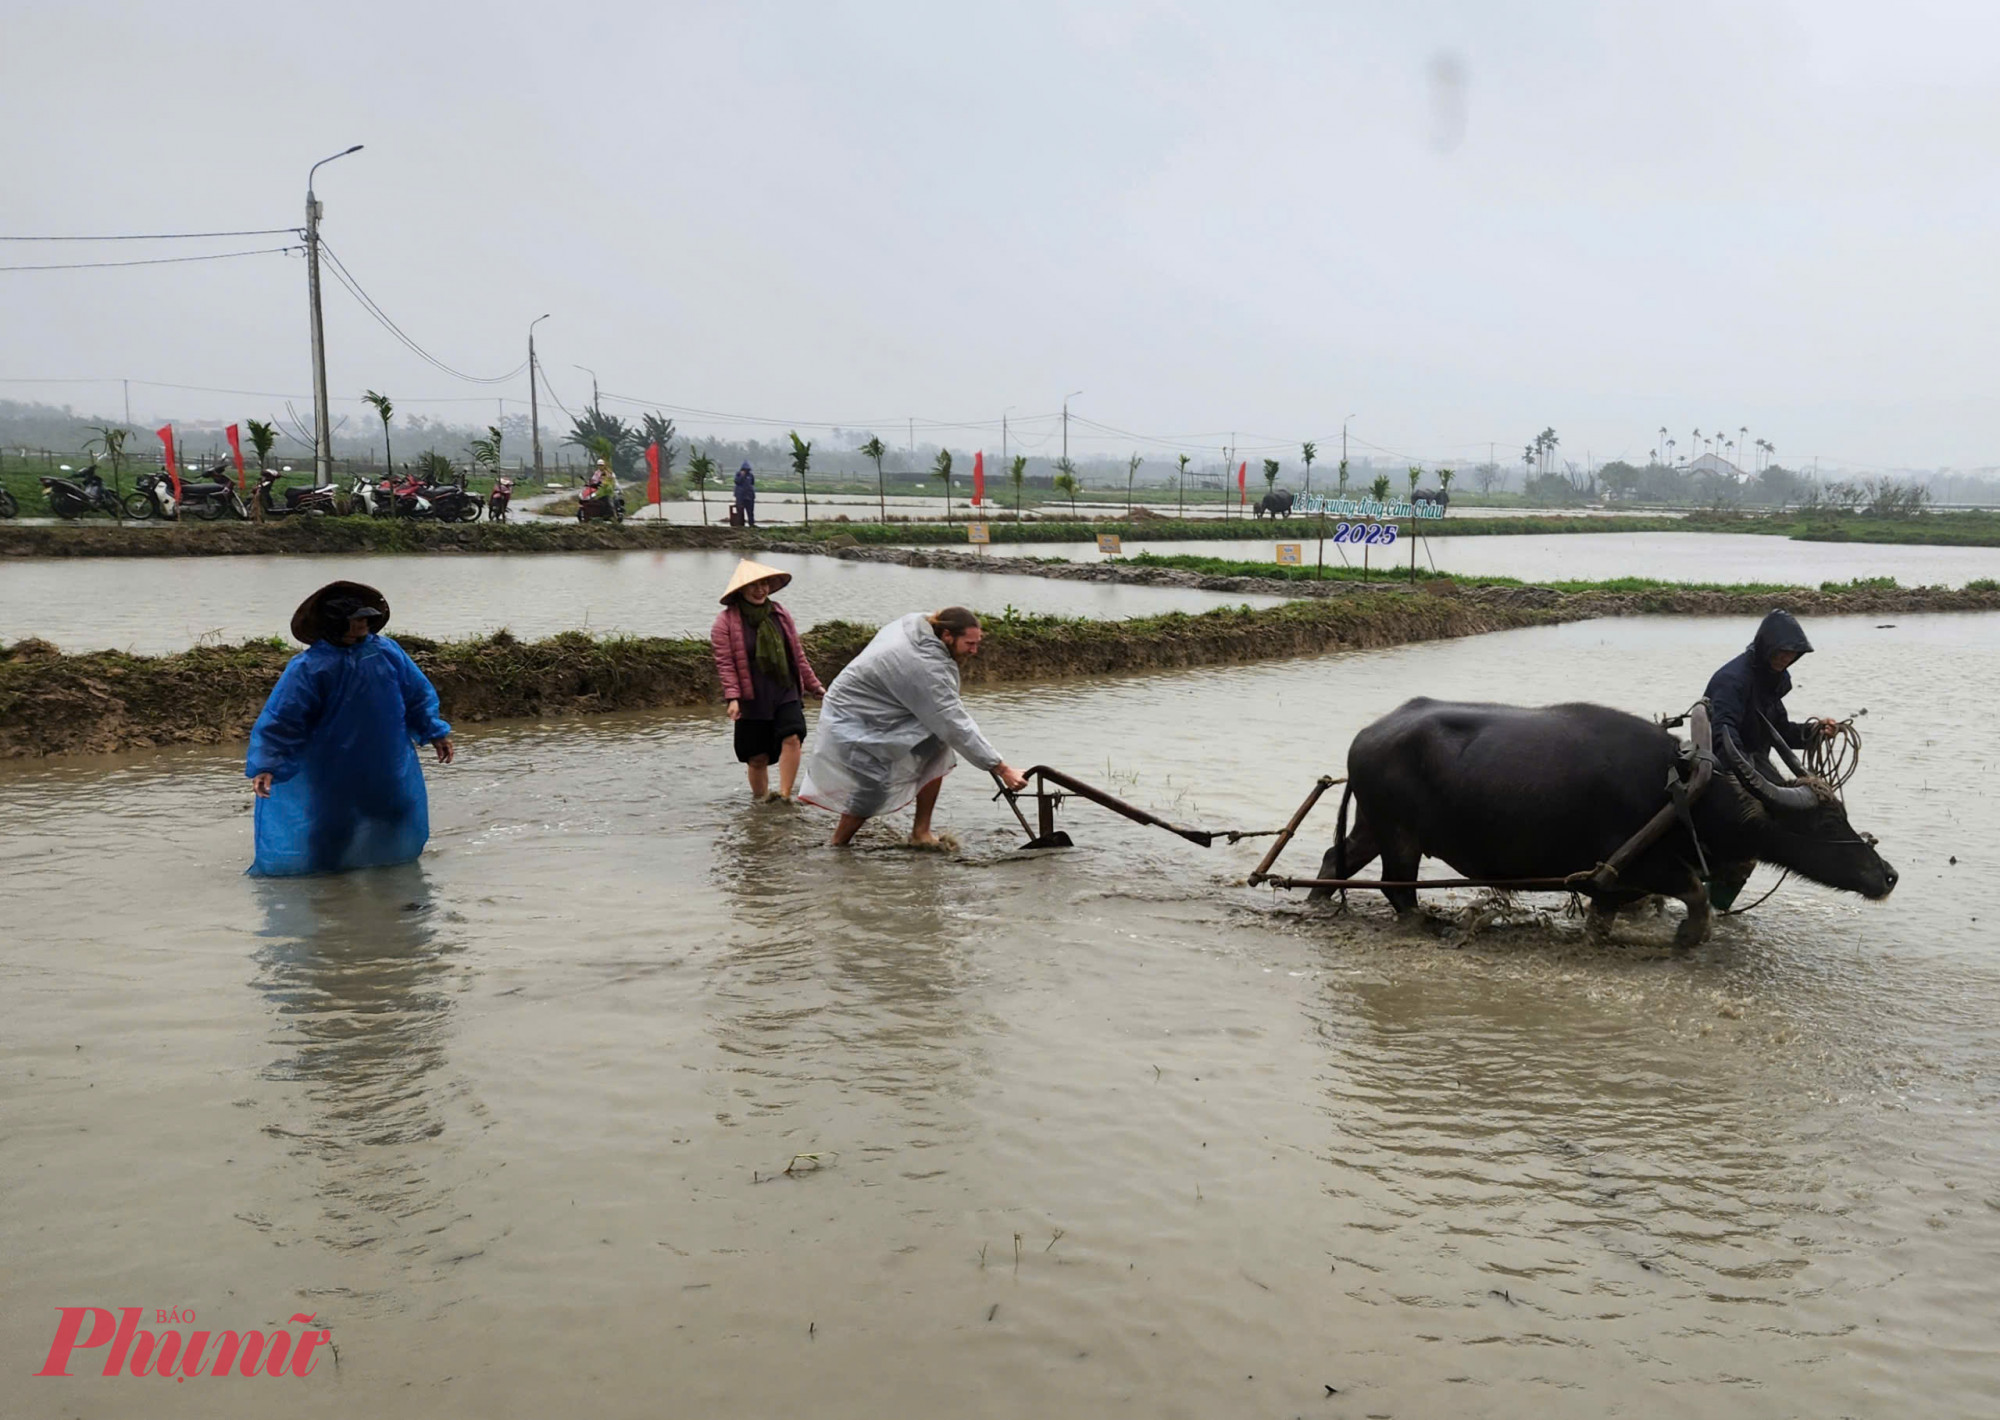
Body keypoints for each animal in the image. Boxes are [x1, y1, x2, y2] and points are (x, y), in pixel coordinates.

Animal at [1320, 700, 1896, 944]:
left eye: (1843, 814)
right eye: (1825, 824)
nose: (1887, 875)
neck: (1682, 791)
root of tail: (1365, 737)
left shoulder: (1611, 884)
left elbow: (1604, 918)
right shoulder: (1643, 867)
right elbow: (1696, 894)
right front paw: (1688, 936)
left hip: (1373, 826)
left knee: (1335, 860)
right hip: (1399, 836)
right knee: (1397, 888)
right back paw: (1422, 923)